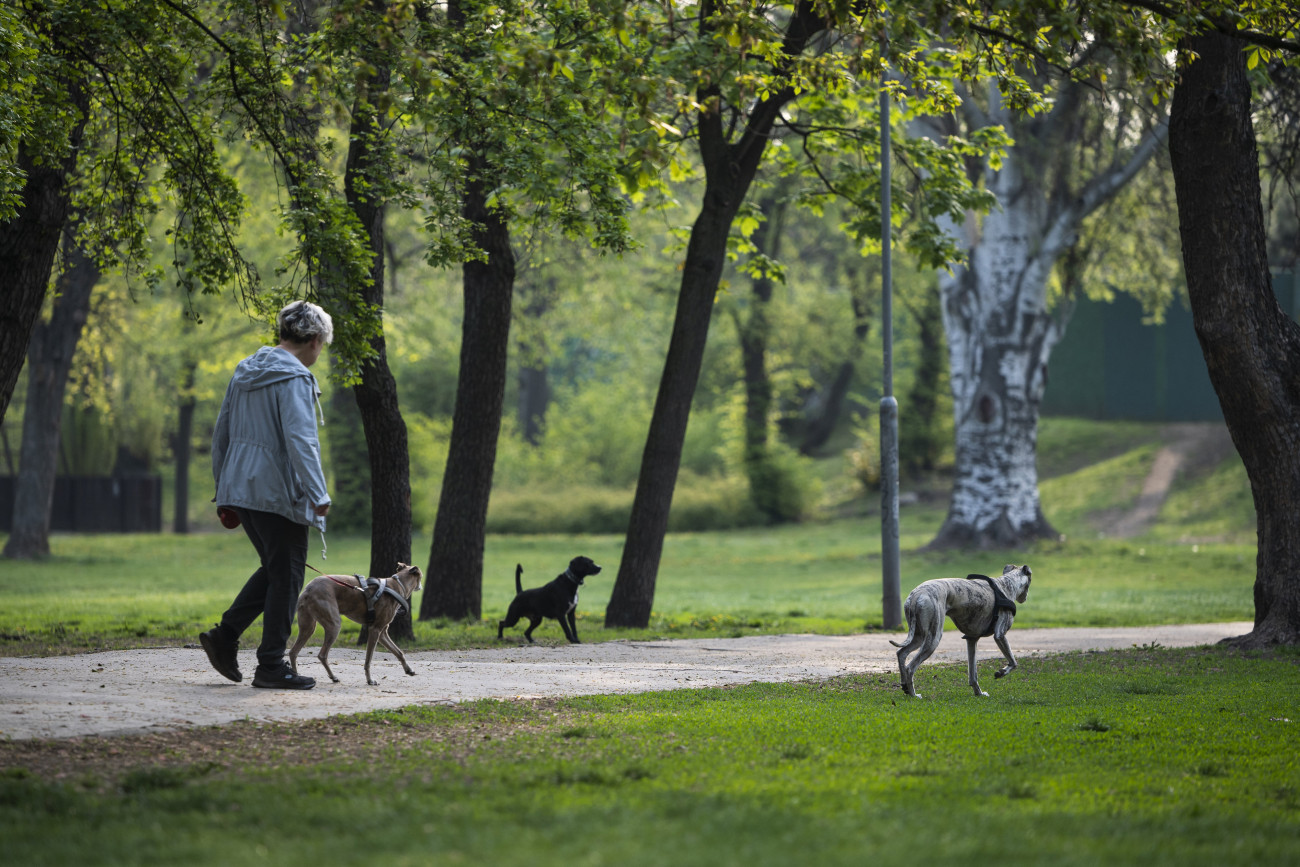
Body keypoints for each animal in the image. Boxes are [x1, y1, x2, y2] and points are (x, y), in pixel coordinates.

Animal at [289, 564, 421, 686]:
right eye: (420, 576)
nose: (420, 586)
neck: (397, 585)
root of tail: (307, 590)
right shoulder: (375, 629)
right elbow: (368, 659)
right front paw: (370, 680)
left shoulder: (382, 632)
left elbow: (399, 652)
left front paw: (409, 670)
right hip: (334, 624)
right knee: (322, 655)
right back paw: (333, 677)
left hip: (308, 626)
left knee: (293, 652)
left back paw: (296, 677)